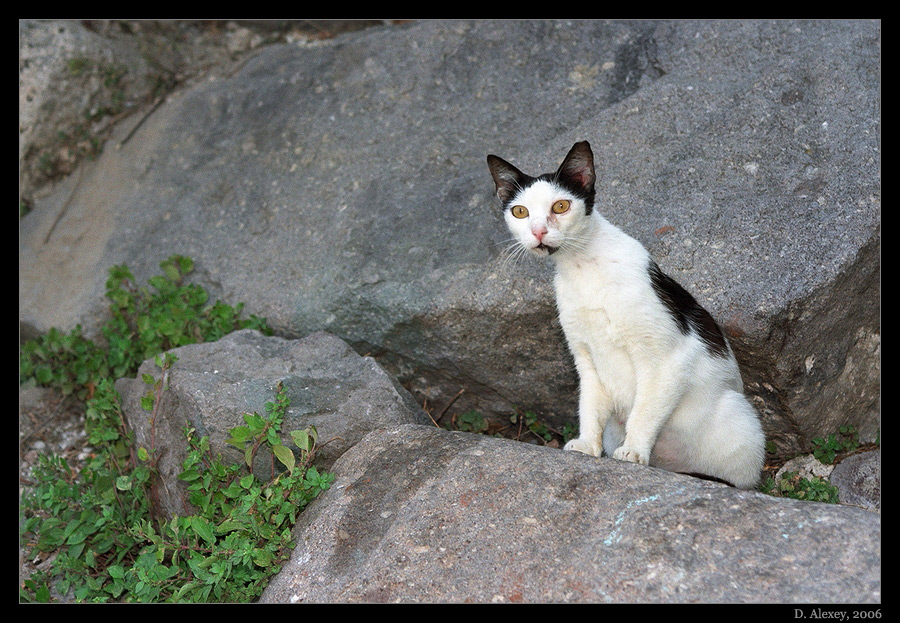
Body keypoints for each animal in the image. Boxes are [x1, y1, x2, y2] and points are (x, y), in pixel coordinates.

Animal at [488, 143, 764, 492]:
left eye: (561, 206)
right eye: (520, 212)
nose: (538, 232)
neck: (582, 267)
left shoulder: (667, 359)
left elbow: (644, 411)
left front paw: (633, 451)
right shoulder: (586, 360)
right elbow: (589, 406)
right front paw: (587, 445)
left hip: (737, 416)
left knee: (739, 480)